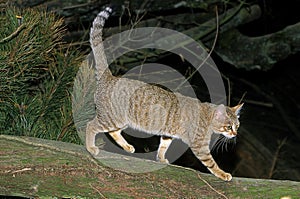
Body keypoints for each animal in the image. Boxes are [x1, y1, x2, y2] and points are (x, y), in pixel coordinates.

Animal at [85, 7, 244, 181]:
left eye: (237, 125)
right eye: (228, 126)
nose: (235, 134)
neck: (207, 117)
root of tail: (109, 77)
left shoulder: (168, 134)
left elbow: (163, 146)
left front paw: (161, 159)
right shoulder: (199, 145)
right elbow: (211, 163)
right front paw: (223, 174)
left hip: (120, 121)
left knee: (113, 132)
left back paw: (127, 147)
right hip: (112, 118)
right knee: (90, 126)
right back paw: (91, 147)